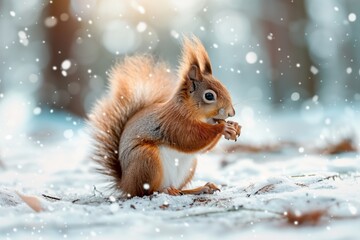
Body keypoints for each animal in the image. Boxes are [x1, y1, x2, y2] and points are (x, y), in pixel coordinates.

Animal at [89, 36, 242, 197]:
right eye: (209, 96)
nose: (231, 113)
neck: (190, 112)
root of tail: (125, 184)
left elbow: (202, 148)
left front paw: (235, 126)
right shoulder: (174, 123)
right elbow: (191, 138)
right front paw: (223, 127)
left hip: (188, 167)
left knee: (180, 190)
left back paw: (200, 188)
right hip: (146, 159)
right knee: (147, 191)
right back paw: (166, 190)